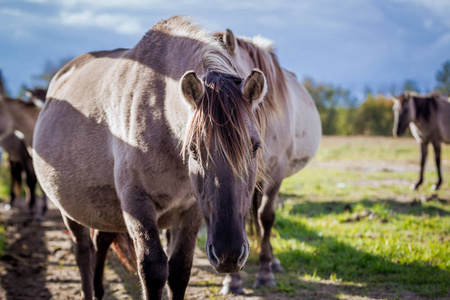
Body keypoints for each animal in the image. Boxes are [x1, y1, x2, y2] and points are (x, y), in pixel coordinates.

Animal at [32, 17, 274, 300]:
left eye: (255, 147)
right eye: (193, 149)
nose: (229, 254)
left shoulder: (191, 211)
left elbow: (180, 270)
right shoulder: (137, 205)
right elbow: (154, 269)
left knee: (101, 243)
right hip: (70, 211)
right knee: (83, 252)